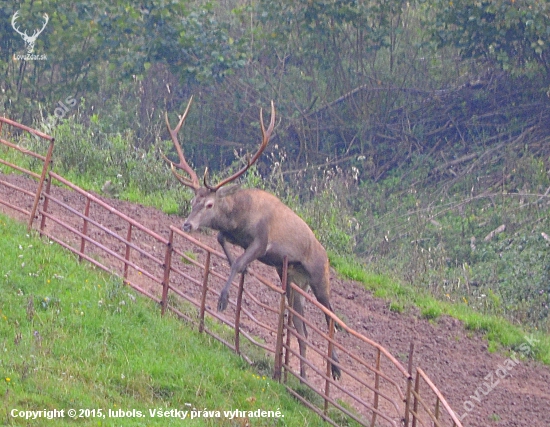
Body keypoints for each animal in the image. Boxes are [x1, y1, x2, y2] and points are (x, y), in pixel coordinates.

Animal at [165, 98, 340, 382]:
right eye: (193, 201)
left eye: (209, 204)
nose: (187, 224)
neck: (241, 218)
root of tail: (325, 255)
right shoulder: (239, 239)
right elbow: (220, 238)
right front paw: (241, 268)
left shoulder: (262, 242)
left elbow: (237, 263)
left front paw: (223, 299)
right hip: (292, 279)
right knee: (301, 326)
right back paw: (302, 375)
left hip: (319, 275)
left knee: (331, 315)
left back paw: (335, 368)